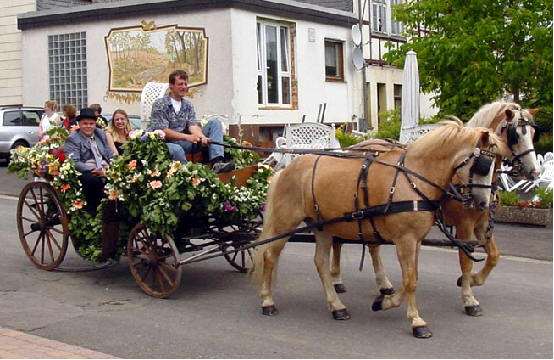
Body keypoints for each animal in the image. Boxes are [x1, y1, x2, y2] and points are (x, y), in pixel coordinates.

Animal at [248, 121, 506, 338]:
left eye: (498, 164)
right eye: (484, 165)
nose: (484, 204)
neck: (413, 179)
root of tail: (286, 170)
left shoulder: (416, 240)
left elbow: (412, 277)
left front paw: (384, 302)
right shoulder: (406, 239)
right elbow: (410, 280)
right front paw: (416, 321)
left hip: (322, 226)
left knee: (320, 263)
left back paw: (336, 306)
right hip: (286, 222)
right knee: (270, 256)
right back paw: (267, 300)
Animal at [328, 101, 536, 318]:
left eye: (533, 132)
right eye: (515, 133)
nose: (533, 171)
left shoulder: (482, 223)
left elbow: (494, 256)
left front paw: (473, 280)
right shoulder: (464, 225)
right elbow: (466, 261)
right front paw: (468, 298)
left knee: (360, 243)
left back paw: (377, 284)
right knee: (349, 242)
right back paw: (339, 279)